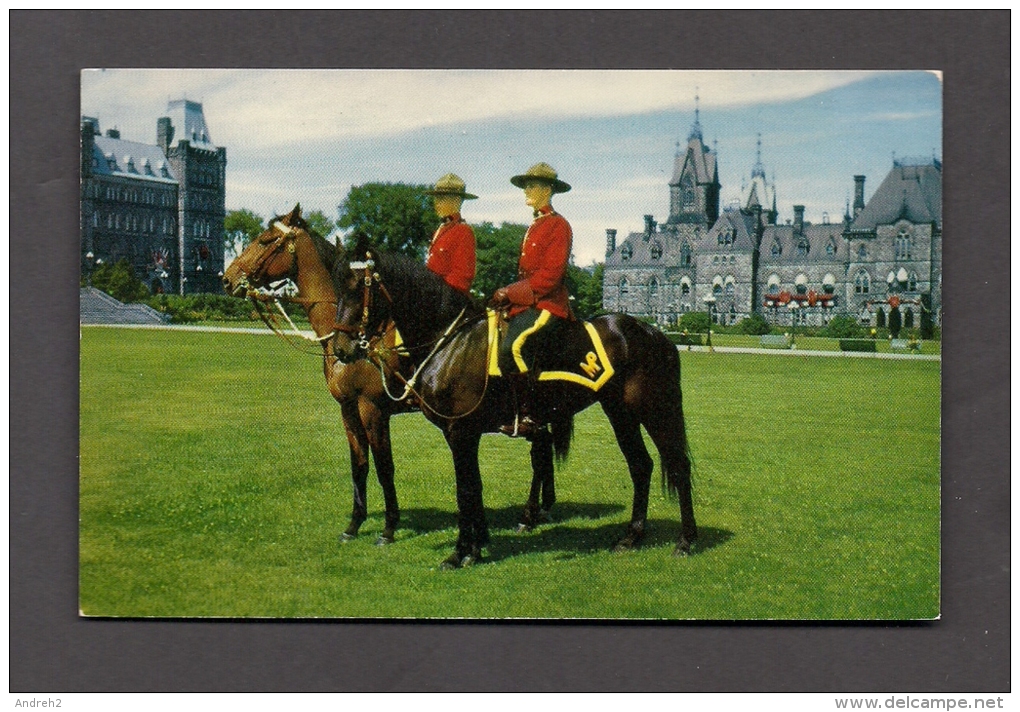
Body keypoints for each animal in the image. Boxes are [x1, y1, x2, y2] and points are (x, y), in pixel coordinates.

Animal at [222, 205, 558, 542]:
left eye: (265, 240)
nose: (227, 278)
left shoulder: (372, 409)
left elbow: (385, 467)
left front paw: (388, 527)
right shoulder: (348, 409)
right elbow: (359, 465)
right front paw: (354, 524)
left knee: (539, 451)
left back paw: (529, 515)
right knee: (542, 450)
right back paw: (537, 511)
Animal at [330, 241, 697, 567]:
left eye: (359, 286)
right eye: (338, 284)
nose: (341, 349)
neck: (450, 341)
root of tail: (655, 333)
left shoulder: (460, 430)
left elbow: (464, 490)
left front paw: (459, 554)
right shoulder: (460, 433)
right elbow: (473, 486)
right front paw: (475, 548)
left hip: (653, 409)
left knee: (678, 464)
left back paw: (686, 541)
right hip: (620, 412)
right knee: (641, 465)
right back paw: (631, 536)